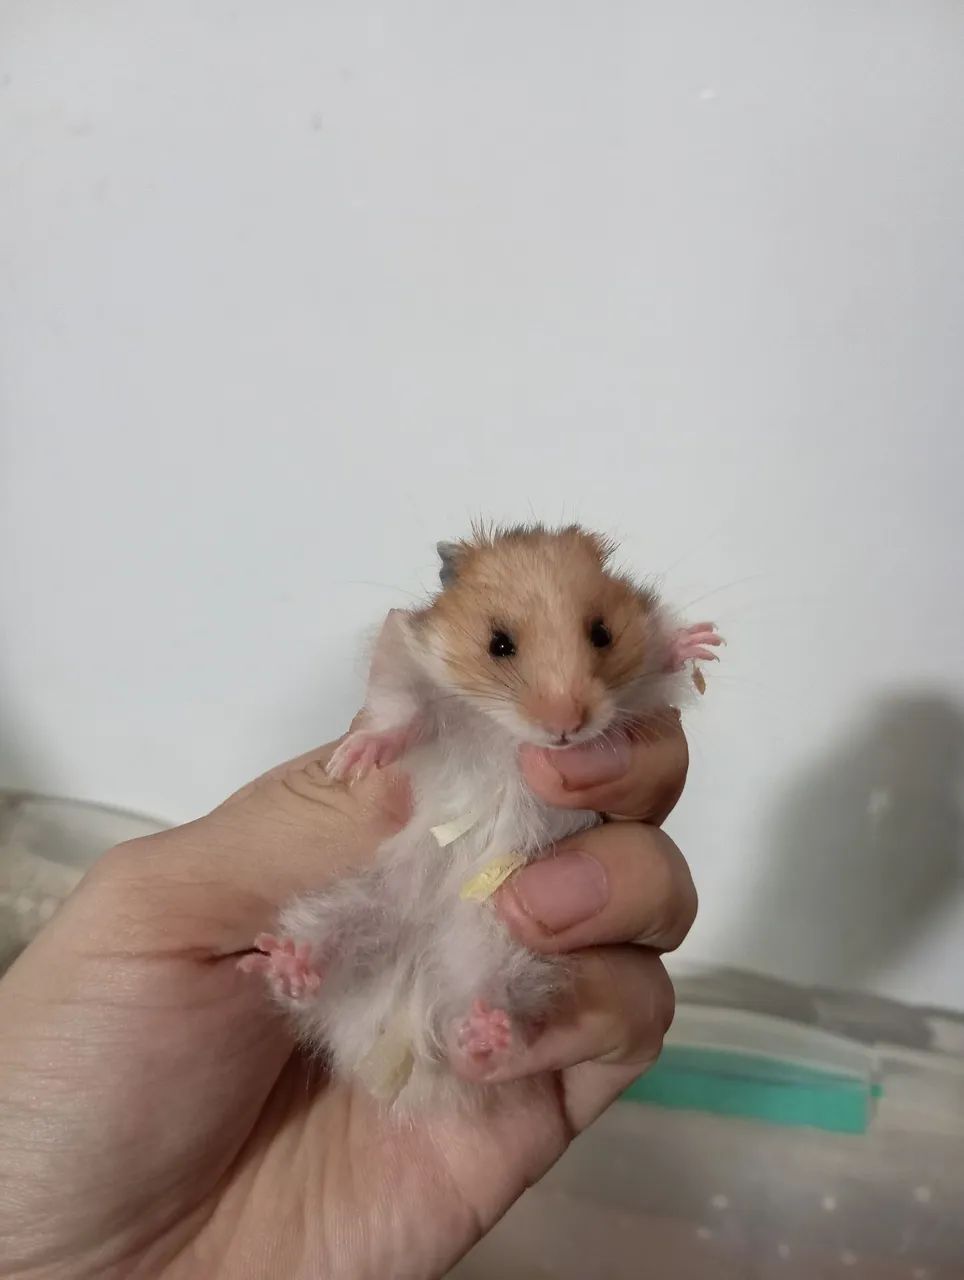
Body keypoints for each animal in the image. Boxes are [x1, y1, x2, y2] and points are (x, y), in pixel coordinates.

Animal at [239, 524, 721, 1112]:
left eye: (602, 633)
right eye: (499, 644)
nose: (565, 728)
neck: (507, 731)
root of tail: (415, 981)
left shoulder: (639, 701)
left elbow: (655, 667)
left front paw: (701, 640)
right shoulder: (408, 668)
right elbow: (402, 718)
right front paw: (353, 761)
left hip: (510, 956)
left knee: (498, 1000)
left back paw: (486, 1033)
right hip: (352, 904)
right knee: (319, 949)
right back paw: (291, 964)